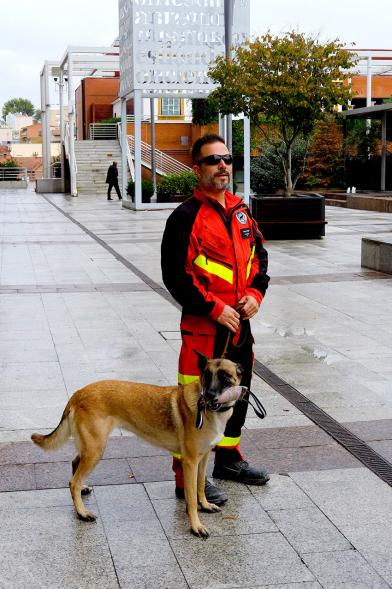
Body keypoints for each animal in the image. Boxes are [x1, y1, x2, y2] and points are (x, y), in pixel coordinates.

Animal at [32, 354, 243, 536]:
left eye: (225, 377)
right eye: (207, 376)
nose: (209, 396)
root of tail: (77, 394)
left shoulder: (204, 458)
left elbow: (200, 486)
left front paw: (205, 505)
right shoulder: (190, 462)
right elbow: (191, 499)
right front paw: (196, 526)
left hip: (90, 448)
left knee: (75, 466)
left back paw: (81, 493)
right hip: (95, 450)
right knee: (73, 481)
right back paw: (82, 513)